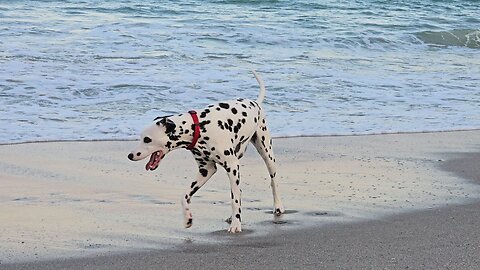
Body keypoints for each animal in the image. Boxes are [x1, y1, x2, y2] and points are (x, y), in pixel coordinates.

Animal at [127, 70, 284, 233]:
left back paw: (277, 206)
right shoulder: (206, 170)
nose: (130, 155)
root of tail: (255, 102)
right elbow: (184, 196)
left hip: (266, 153)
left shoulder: (232, 166)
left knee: (272, 181)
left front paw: (236, 224)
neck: (199, 126)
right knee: (238, 191)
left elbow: (234, 199)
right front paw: (188, 218)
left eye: (147, 139)